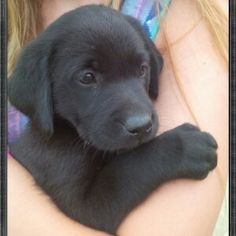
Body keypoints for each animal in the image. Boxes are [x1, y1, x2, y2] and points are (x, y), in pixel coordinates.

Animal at [9, 5, 218, 234]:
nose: (141, 126)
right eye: (87, 77)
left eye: (142, 69)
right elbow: (131, 166)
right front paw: (186, 145)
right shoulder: (84, 204)